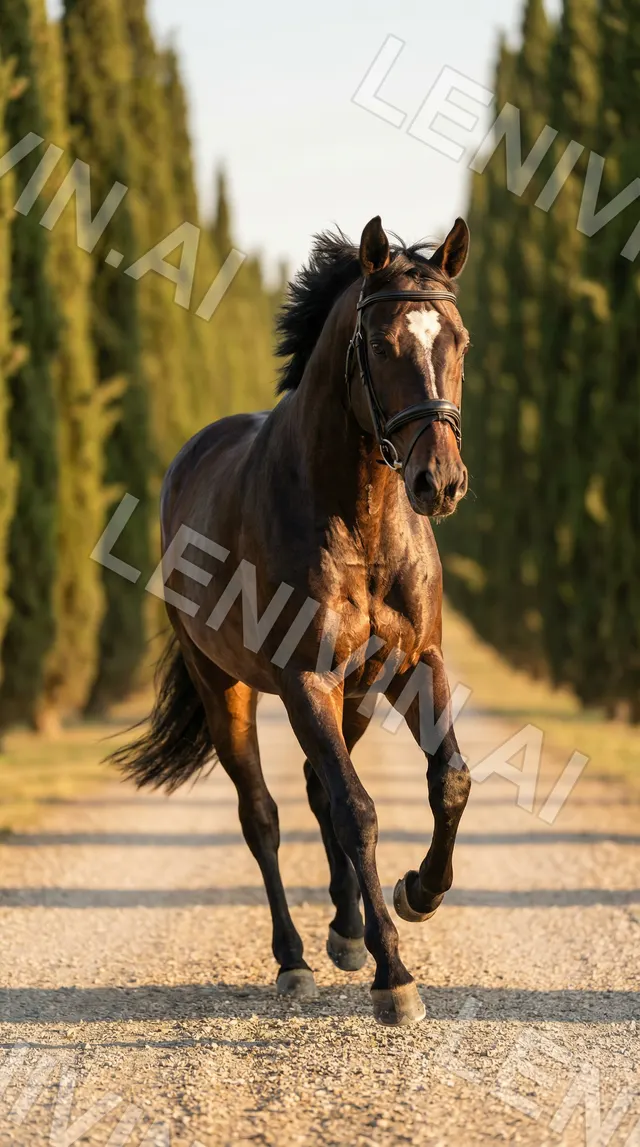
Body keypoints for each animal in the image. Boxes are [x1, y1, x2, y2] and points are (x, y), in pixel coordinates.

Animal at [111, 214, 472, 1026]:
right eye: (381, 345)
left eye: (458, 340)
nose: (439, 482)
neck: (357, 518)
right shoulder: (306, 678)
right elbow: (358, 810)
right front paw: (395, 978)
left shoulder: (415, 664)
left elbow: (448, 781)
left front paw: (418, 892)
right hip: (228, 688)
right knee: (265, 814)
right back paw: (297, 959)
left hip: (356, 695)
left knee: (314, 790)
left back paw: (345, 932)